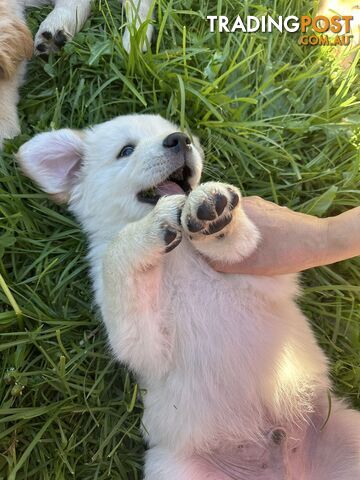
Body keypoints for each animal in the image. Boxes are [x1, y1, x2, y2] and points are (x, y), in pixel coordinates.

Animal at [16, 114, 360, 478]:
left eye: (178, 133)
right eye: (126, 150)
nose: (180, 140)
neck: (179, 256)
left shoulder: (267, 273)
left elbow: (242, 244)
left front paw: (211, 207)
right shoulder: (141, 340)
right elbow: (116, 255)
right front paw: (147, 229)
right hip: (174, 468)